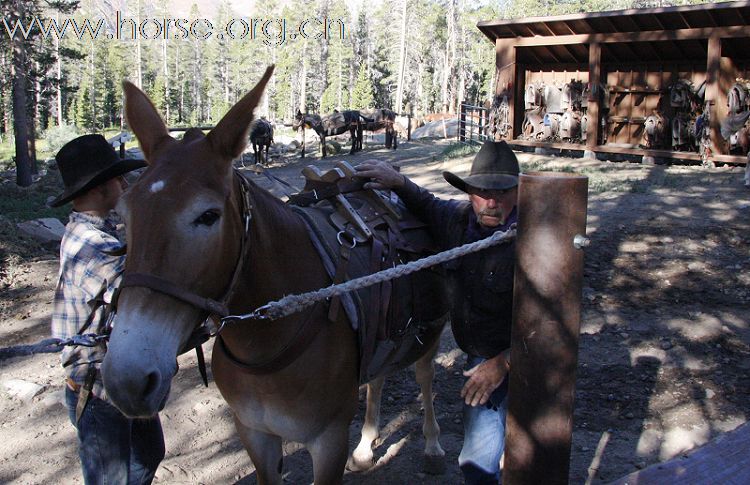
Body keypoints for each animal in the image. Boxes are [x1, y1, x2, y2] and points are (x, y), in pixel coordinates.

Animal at [102, 66, 450, 482]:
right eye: (123, 215)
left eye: (208, 216)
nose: (126, 380)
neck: (267, 340)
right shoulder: (253, 432)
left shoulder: (329, 440)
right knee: (379, 376)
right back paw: (366, 447)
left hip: (431, 333)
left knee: (425, 378)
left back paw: (432, 446)